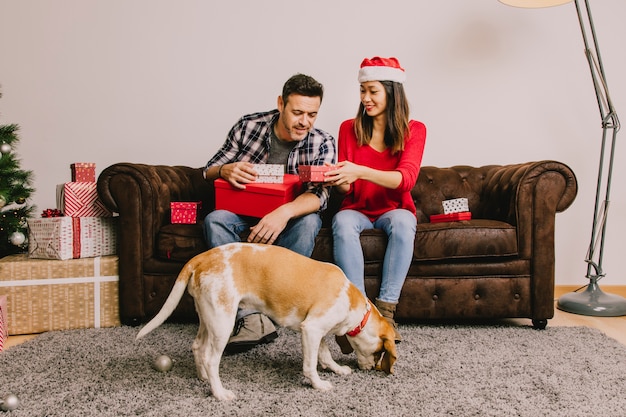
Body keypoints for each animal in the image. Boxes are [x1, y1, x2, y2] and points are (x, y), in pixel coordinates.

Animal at [136, 242, 394, 402]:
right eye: (379, 352)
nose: (370, 369)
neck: (353, 303)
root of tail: (202, 257)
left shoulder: (316, 332)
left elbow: (324, 355)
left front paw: (337, 369)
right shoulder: (311, 329)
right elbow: (310, 364)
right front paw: (318, 385)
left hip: (208, 318)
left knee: (198, 347)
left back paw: (204, 378)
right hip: (222, 322)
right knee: (211, 358)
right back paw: (219, 393)